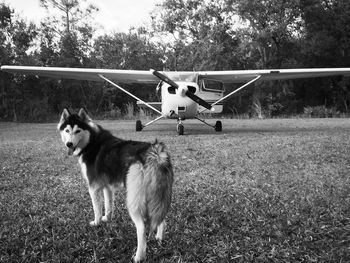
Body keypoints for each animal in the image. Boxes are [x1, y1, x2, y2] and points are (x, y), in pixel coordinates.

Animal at [56, 108, 174, 262]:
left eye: (77, 131)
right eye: (67, 130)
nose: (69, 144)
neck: (91, 141)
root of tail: (155, 154)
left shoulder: (93, 188)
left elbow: (97, 209)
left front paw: (97, 222)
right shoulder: (107, 187)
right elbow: (108, 205)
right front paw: (107, 218)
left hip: (133, 201)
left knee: (142, 228)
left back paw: (139, 256)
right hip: (159, 197)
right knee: (161, 218)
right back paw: (159, 238)